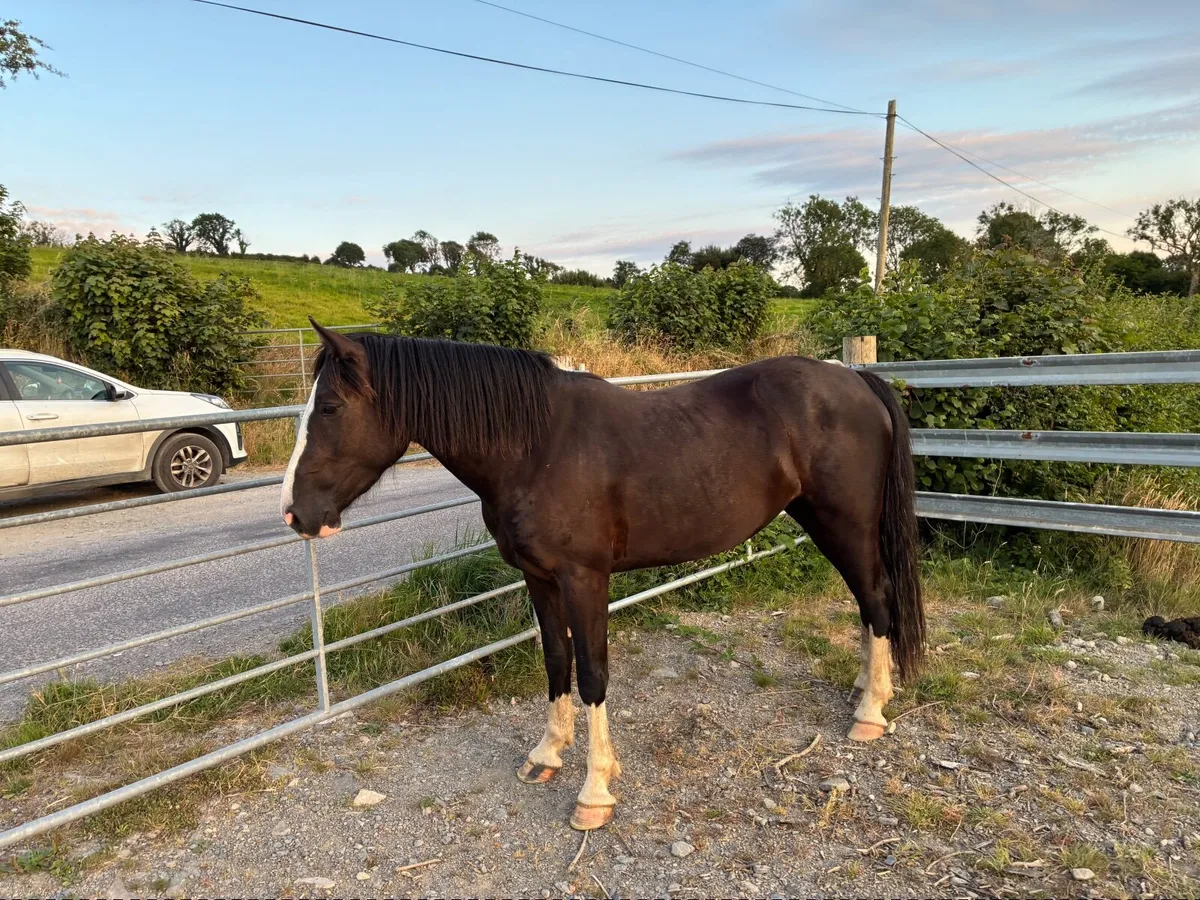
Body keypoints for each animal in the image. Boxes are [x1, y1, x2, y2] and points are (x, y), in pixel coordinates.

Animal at [281, 321, 924, 831]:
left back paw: (870, 714)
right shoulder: (539, 579)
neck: (535, 446)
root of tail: (855, 380)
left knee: (877, 598)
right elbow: (555, 661)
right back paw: (867, 690)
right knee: (869, 604)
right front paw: (546, 755)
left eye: (331, 408)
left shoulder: (584, 579)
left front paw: (594, 792)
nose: (294, 514)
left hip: (844, 524)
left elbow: (592, 674)